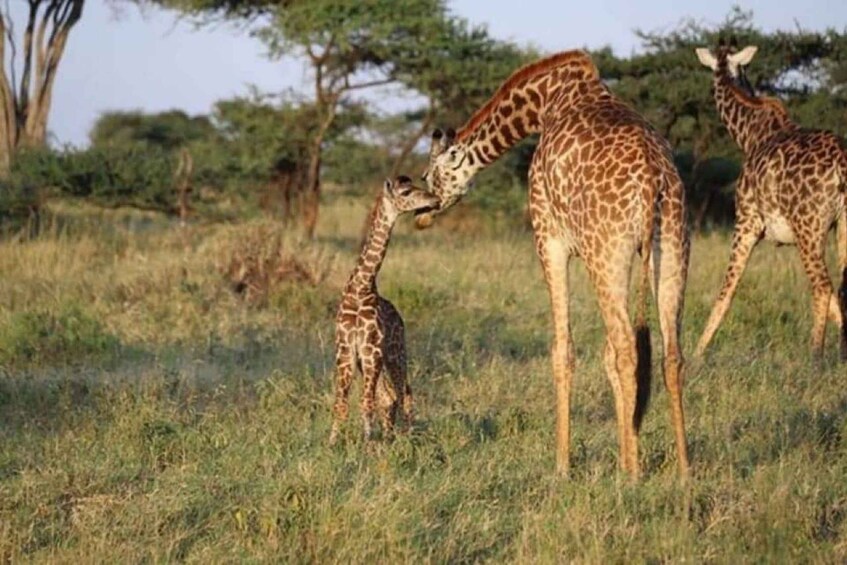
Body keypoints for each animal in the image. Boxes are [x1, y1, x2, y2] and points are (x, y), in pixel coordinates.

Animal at [329, 176, 441, 445]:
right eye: (406, 191)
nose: (435, 199)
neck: (360, 288)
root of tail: (400, 318)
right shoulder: (346, 352)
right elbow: (341, 403)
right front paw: (331, 444)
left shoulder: (372, 351)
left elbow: (366, 403)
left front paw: (367, 446)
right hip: (373, 360)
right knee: (389, 397)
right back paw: (390, 437)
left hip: (395, 353)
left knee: (405, 393)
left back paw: (406, 438)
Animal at [419, 51, 690, 479]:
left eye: (431, 175)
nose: (423, 215)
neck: (547, 100)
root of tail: (653, 183)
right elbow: (604, 356)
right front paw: (622, 453)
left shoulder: (549, 238)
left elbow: (564, 350)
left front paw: (563, 465)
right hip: (671, 247)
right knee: (670, 354)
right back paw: (682, 470)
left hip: (608, 254)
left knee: (627, 348)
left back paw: (632, 477)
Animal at [694, 42, 847, 361]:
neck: (749, 133)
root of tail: (841, 163)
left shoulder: (746, 221)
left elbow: (726, 291)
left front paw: (696, 354)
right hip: (840, 224)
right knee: (841, 288)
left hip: (808, 227)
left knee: (822, 287)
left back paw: (815, 358)